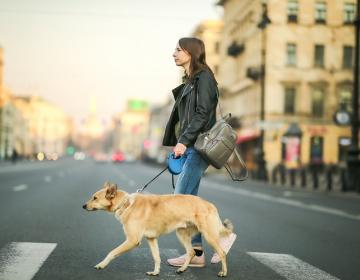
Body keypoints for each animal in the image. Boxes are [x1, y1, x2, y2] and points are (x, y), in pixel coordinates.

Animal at [82, 182, 235, 276]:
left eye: (95, 198)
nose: (83, 206)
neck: (126, 203)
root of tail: (210, 204)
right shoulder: (151, 239)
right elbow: (157, 258)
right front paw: (155, 272)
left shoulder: (132, 240)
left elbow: (112, 252)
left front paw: (101, 264)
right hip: (182, 234)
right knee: (191, 252)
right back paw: (182, 269)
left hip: (209, 236)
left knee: (222, 252)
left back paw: (224, 272)